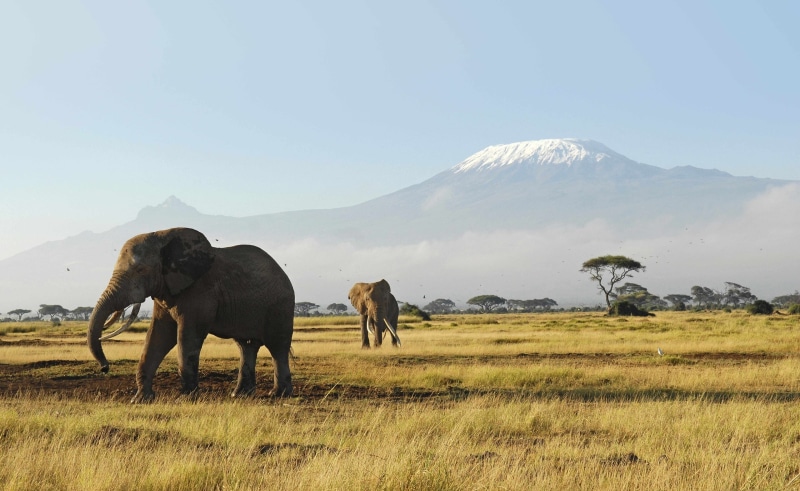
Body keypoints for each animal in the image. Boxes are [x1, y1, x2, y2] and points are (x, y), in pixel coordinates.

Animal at [87, 227, 295, 403]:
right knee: (246, 346)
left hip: (280, 306)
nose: (105, 368)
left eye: (140, 270)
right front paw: (140, 400)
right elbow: (158, 336)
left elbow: (187, 336)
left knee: (277, 347)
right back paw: (239, 395)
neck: (162, 236)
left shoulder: (199, 291)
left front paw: (186, 398)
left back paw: (279, 394)